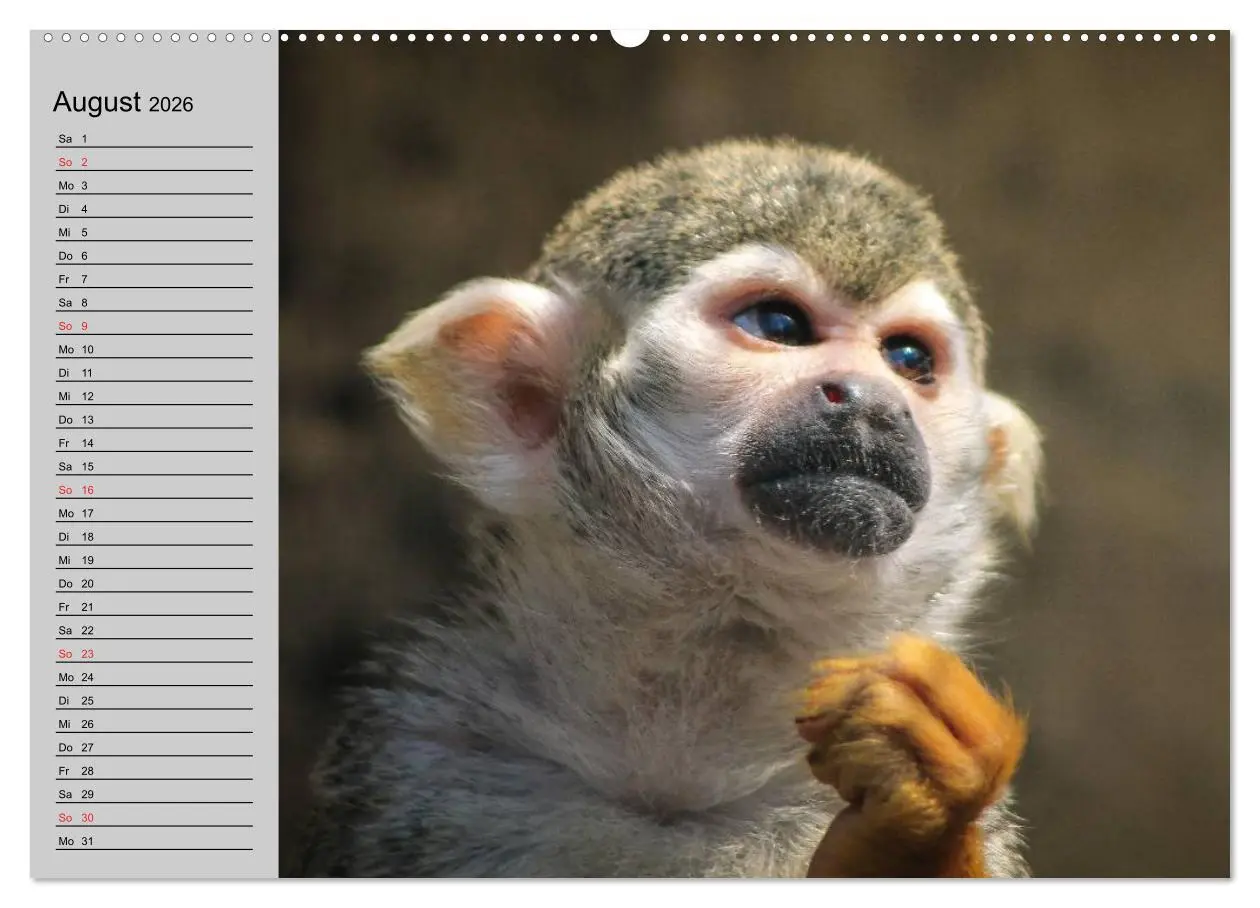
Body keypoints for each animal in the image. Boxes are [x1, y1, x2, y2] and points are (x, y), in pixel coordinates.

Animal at [297, 137, 1043, 878]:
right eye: (779, 323)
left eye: (909, 359)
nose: (874, 403)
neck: (674, 771)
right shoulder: (416, 750)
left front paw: (917, 820)